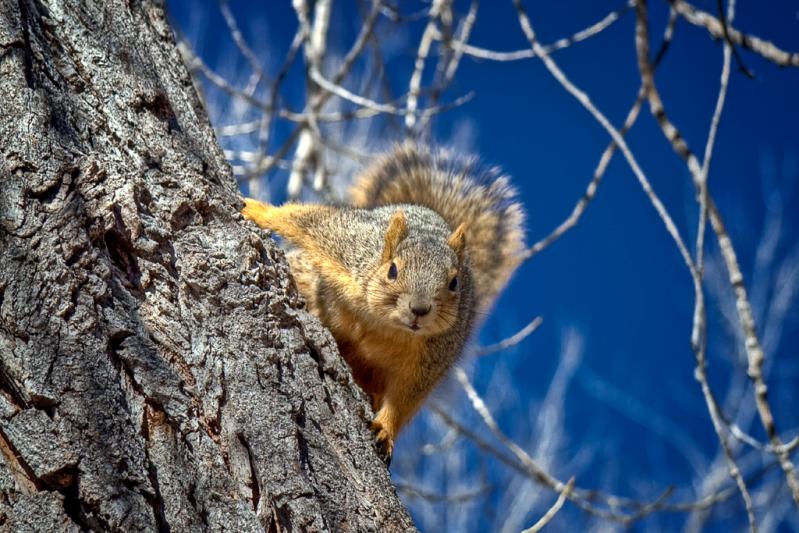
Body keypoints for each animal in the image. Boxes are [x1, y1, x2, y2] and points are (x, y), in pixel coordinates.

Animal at [244, 144, 532, 462]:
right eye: (392, 270)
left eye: (455, 283)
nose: (419, 310)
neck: (384, 324)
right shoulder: (349, 246)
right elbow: (308, 220)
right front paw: (257, 210)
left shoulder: (433, 356)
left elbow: (407, 397)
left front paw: (386, 429)